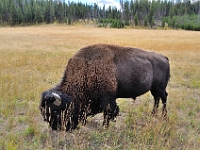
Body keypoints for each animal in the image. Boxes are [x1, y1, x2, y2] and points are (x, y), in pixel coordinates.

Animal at [39, 44, 170, 131]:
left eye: (56, 111)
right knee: (156, 99)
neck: (86, 71)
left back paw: (163, 116)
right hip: (154, 89)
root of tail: (164, 57)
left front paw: (104, 127)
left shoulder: (107, 98)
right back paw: (153, 114)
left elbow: (109, 112)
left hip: (160, 88)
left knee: (164, 98)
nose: (56, 128)